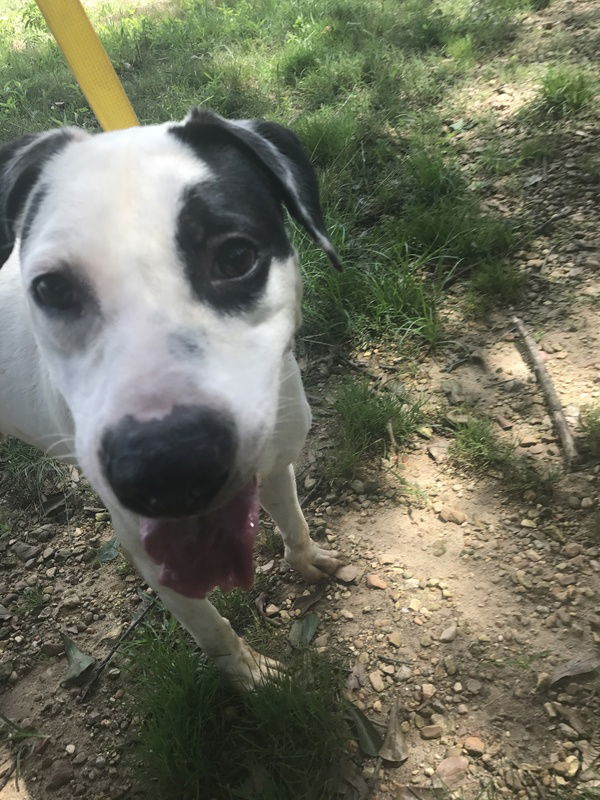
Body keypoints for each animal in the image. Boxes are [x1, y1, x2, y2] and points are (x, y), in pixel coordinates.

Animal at [0, 109, 342, 692]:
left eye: (235, 256)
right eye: (50, 288)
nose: (168, 467)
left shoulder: (276, 462)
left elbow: (293, 521)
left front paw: (307, 559)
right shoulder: (148, 552)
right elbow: (212, 628)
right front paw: (248, 672)